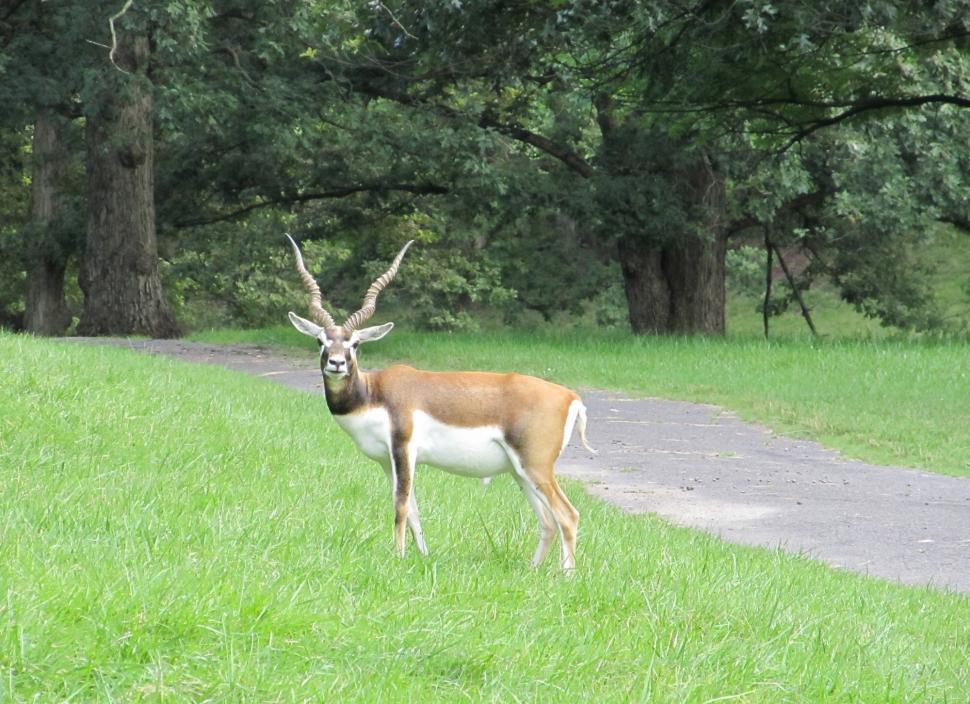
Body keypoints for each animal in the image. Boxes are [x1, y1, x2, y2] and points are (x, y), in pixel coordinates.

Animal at [285, 236, 595, 570]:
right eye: (321, 341)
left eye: (355, 343)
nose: (337, 363)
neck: (372, 393)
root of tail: (570, 397)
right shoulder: (387, 461)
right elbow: (413, 510)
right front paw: (421, 556)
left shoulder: (404, 449)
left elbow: (400, 506)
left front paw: (398, 557)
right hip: (520, 472)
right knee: (548, 521)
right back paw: (533, 570)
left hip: (536, 467)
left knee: (568, 515)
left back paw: (566, 575)